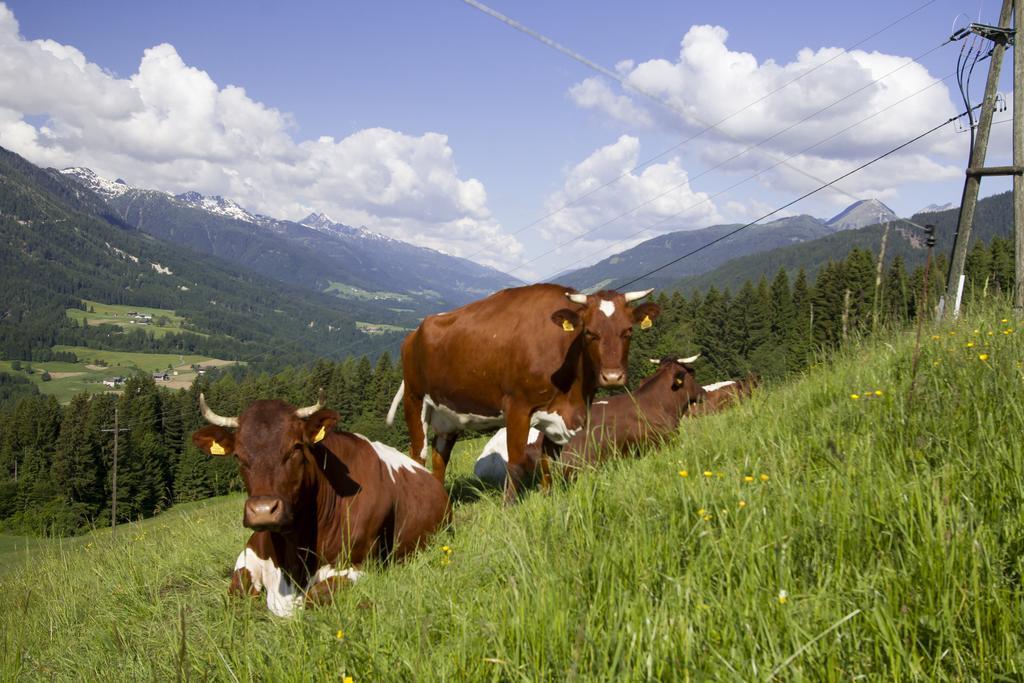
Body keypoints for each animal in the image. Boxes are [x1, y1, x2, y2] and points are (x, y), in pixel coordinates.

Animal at [192, 389, 448, 618]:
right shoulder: (249, 553)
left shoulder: (363, 565)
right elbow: (238, 591)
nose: (263, 511)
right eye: (238, 455)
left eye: (296, 446)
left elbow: (312, 597)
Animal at [385, 282, 663, 501]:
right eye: (589, 332)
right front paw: (509, 506)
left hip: (448, 415)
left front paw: (549, 495)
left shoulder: (557, 416)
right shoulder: (517, 407)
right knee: (419, 455)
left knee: (440, 457)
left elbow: (549, 459)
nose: (613, 376)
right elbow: (516, 463)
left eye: (628, 331)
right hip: (414, 400)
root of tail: (414, 334)